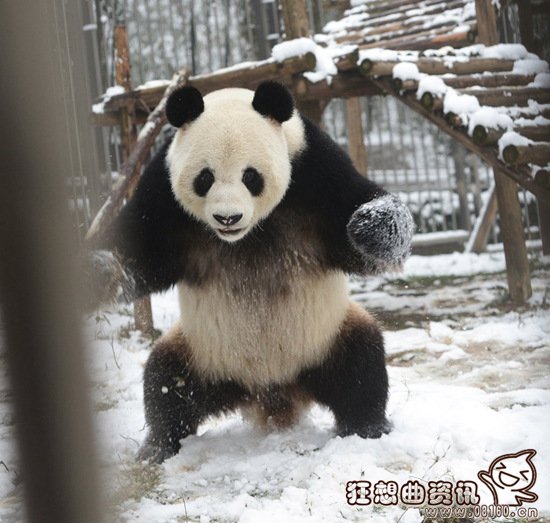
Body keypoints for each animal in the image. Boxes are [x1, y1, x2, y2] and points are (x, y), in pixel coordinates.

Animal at [96, 81, 414, 462]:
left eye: (251, 176)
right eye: (204, 178)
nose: (227, 218)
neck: (245, 236)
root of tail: (272, 393)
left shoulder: (315, 170)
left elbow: (362, 231)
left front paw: (368, 226)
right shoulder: (163, 191)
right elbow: (140, 251)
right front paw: (98, 271)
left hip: (326, 337)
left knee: (361, 368)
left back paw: (367, 429)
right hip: (203, 352)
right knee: (167, 382)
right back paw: (158, 446)